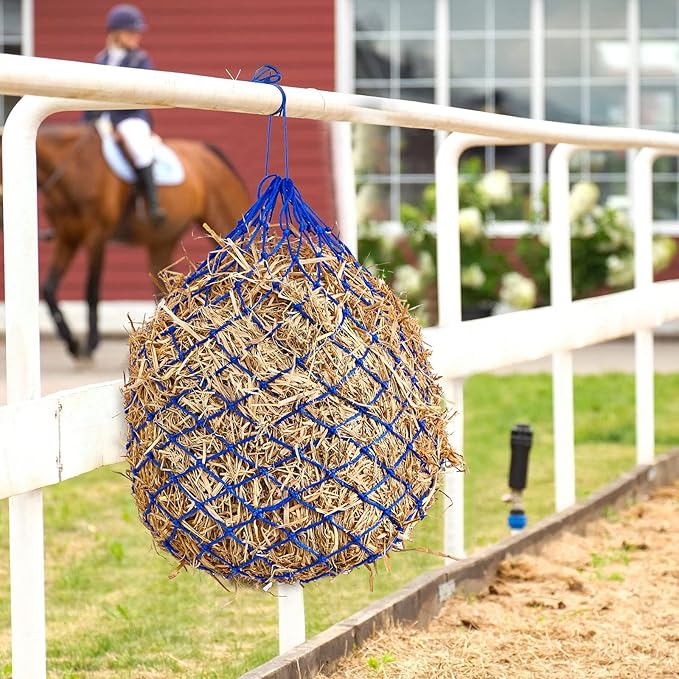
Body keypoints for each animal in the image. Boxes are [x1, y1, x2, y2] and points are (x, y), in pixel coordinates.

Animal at [4, 123, 250, 358]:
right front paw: (72, 343)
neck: (75, 169)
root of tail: (204, 150)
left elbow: (91, 290)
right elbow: (49, 289)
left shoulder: (96, 235)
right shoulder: (67, 237)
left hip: (222, 216)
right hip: (162, 240)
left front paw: (90, 344)